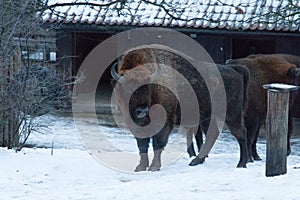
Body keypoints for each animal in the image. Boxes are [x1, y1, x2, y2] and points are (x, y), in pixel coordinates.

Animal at [111, 44, 250, 171]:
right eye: (129, 88)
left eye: (149, 87)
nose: (142, 111)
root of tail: (234, 69)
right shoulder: (137, 125)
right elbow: (142, 145)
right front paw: (140, 167)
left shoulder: (164, 123)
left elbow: (158, 144)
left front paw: (154, 167)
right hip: (209, 117)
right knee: (213, 134)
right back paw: (196, 161)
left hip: (232, 115)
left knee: (241, 133)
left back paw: (241, 164)